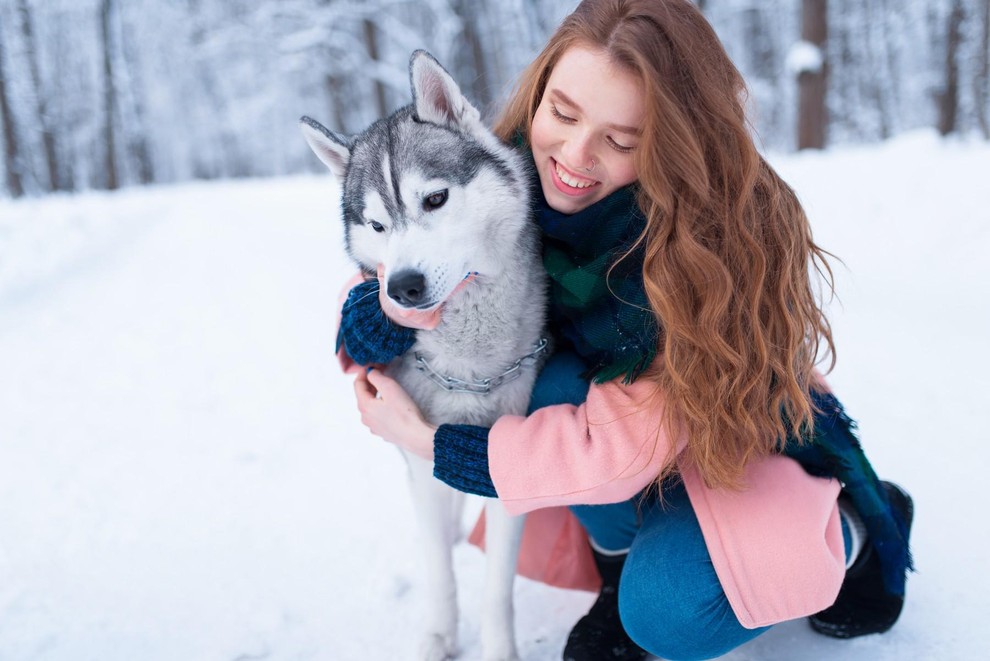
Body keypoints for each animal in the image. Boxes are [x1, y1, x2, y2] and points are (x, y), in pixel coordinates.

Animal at [302, 51, 552, 660]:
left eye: (435, 199)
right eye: (376, 224)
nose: (402, 287)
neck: (468, 356)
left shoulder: (503, 461)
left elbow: (497, 589)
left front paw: (497, 648)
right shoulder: (420, 455)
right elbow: (439, 570)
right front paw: (439, 635)